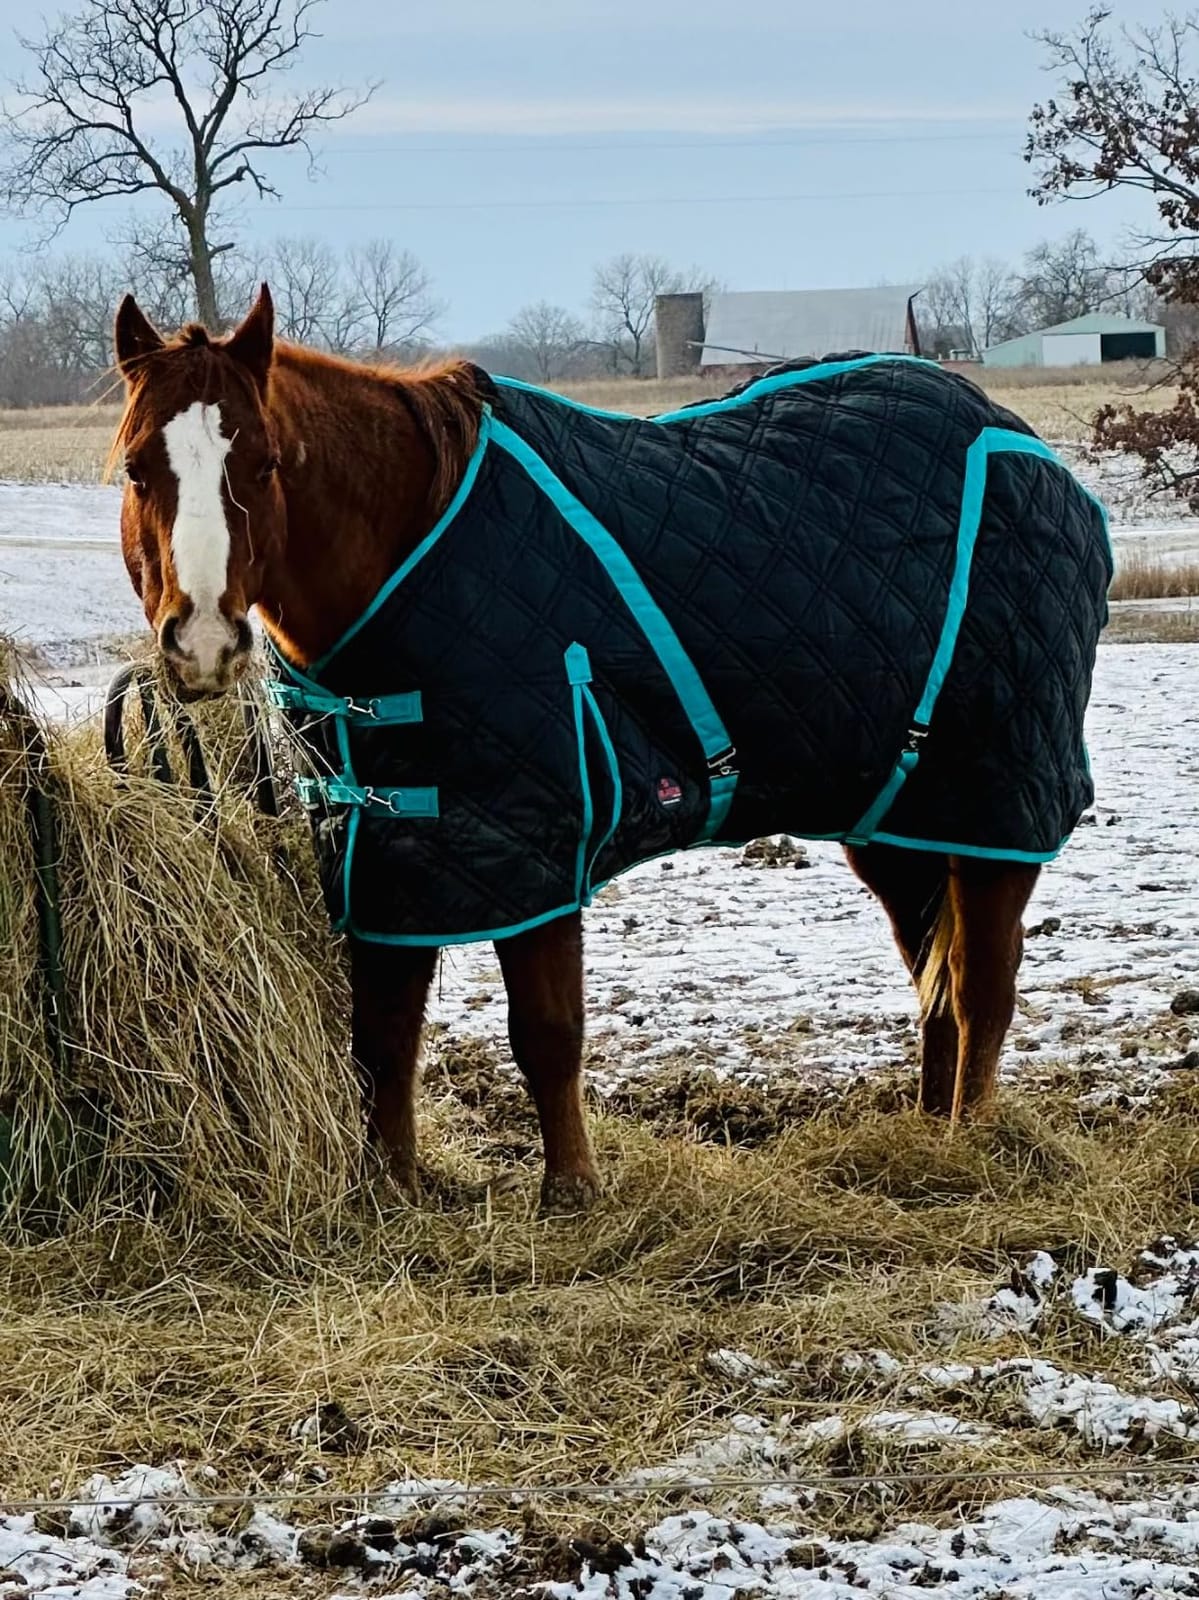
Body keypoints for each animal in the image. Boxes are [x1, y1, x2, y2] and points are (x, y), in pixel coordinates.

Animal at [110, 284, 1111, 1213]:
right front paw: (391, 1188)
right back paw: (929, 1134)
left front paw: (571, 1191)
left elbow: (546, 1032)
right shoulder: (393, 855)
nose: (204, 644)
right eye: (135, 469)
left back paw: (974, 1144)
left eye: (265, 463)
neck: (415, 548)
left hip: (995, 804)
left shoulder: (534, 843)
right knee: (934, 984)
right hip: (897, 820)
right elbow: (384, 1035)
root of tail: (1032, 452)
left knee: (982, 986)